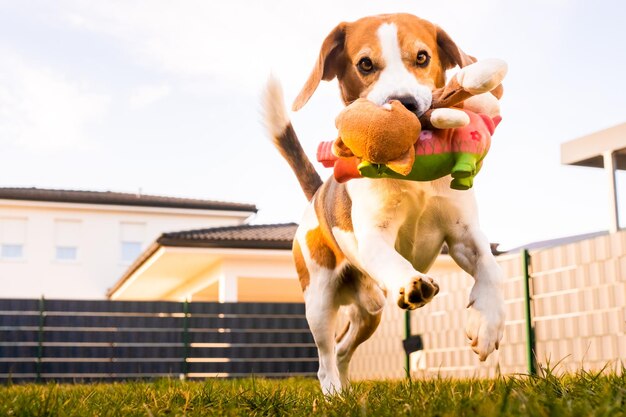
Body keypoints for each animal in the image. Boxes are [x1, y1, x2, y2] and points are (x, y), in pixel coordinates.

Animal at [262, 11, 502, 392]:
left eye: (422, 57)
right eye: (365, 63)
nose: (405, 106)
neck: (414, 170)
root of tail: (317, 195)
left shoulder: (464, 233)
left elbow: (492, 269)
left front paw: (487, 324)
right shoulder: (375, 238)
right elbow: (394, 260)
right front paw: (411, 282)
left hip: (368, 314)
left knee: (343, 350)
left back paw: (346, 393)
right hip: (318, 301)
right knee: (326, 359)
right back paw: (333, 393)